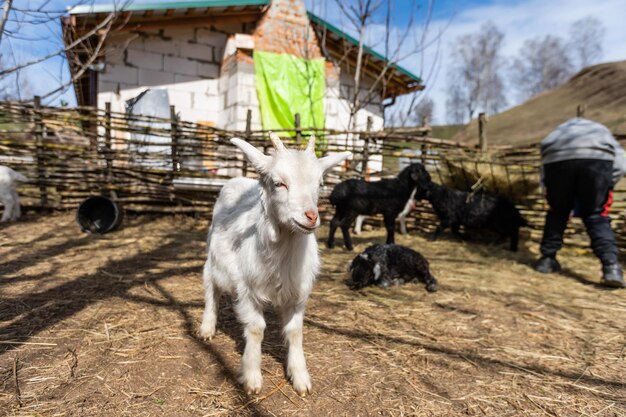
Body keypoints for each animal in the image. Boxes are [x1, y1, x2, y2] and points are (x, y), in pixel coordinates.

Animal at [197, 134, 348, 396]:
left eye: (320, 184)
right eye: (279, 183)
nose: (311, 216)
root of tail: (237, 178)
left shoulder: (297, 294)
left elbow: (295, 332)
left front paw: (300, 377)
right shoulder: (247, 288)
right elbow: (256, 328)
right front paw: (252, 376)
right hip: (212, 259)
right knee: (211, 289)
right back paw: (207, 327)